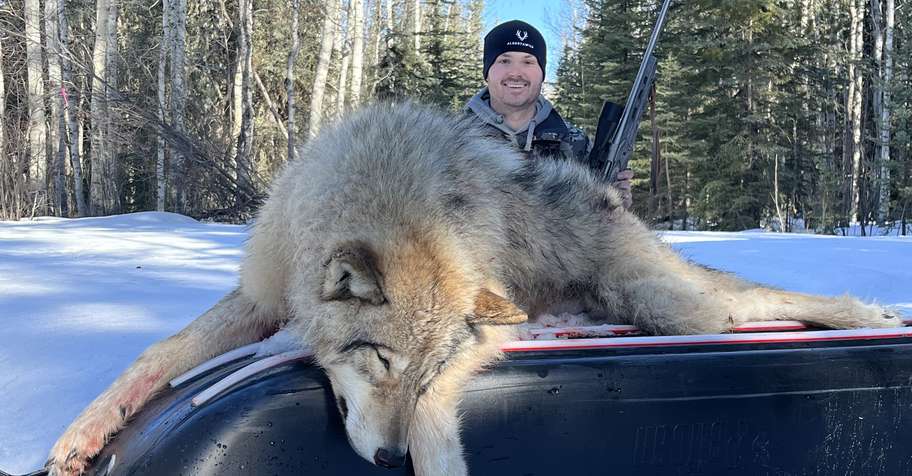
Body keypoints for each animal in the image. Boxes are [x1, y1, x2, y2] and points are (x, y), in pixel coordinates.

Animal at [47, 102, 902, 476]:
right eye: (380, 364)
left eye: (418, 369)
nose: (386, 460)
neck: (386, 189)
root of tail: (599, 192)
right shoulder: (262, 297)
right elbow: (160, 353)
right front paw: (83, 435)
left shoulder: (490, 329)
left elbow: (433, 412)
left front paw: (429, 458)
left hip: (678, 308)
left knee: (760, 300)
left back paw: (866, 311)